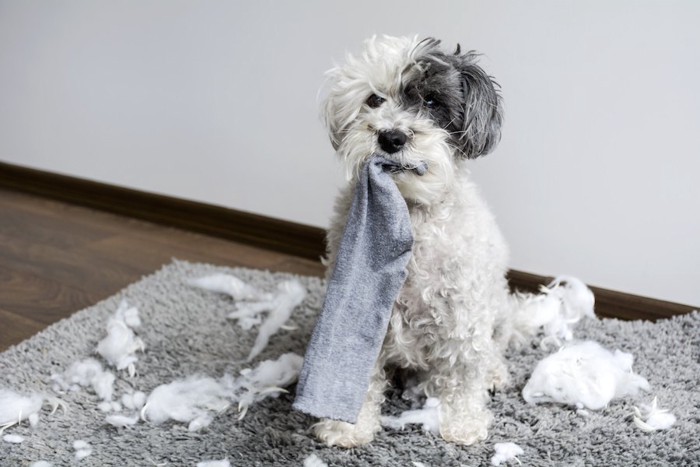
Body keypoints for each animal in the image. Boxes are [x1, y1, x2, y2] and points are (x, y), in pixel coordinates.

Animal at [314, 35, 588, 450]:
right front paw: (347, 428)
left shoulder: (463, 315)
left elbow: (463, 374)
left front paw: (462, 425)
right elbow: (360, 371)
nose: (391, 137)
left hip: (495, 310)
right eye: (374, 99)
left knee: (494, 348)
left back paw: (494, 373)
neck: (410, 214)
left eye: (431, 101)